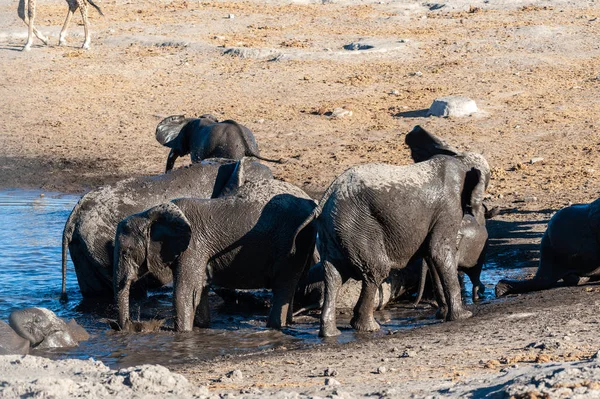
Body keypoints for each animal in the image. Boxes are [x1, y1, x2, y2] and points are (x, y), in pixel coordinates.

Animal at [113, 180, 318, 332]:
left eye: (126, 252)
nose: (131, 326)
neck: (149, 213)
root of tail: (311, 202)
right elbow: (199, 290)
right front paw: (202, 328)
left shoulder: (193, 246)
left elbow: (184, 293)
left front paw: (183, 334)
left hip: (289, 241)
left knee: (283, 285)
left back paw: (274, 326)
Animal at [292, 153, 486, 338]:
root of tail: (325, 197)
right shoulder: (449, 206)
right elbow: (439, 251)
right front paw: (463, 316)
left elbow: (432, 256)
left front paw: (444, 315)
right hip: (357, 225)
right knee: (376, 269)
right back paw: (368, 327)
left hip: (334, 229)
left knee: (333, 276)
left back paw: (331, 333)